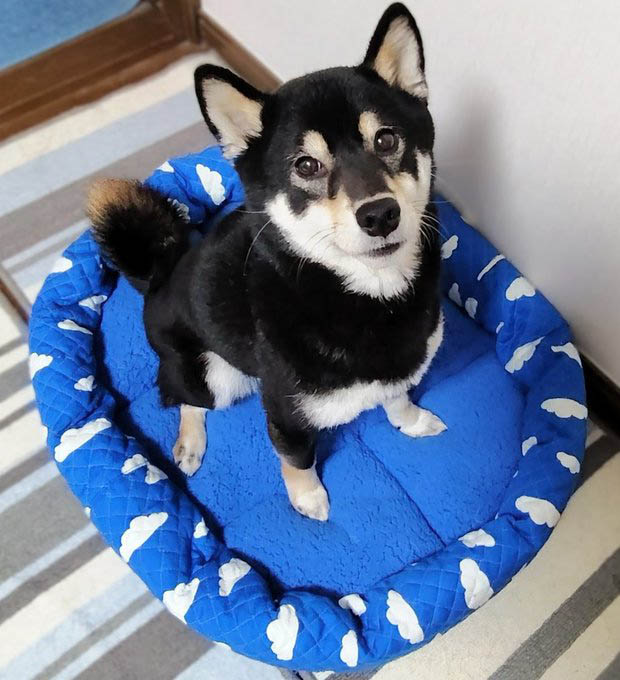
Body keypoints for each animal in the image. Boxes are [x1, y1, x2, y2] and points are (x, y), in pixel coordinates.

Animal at [87, 2, 445, 522]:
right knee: (182, 399)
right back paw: (190, 443)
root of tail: (161, 273)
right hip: (212, 375)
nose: (380, 214)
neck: (367, 296)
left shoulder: (399, 368)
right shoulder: (285, 411)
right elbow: (296, 458)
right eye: (307, 166)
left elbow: (396, 398)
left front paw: (412, 422)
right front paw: (308, 499)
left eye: (386, 140)